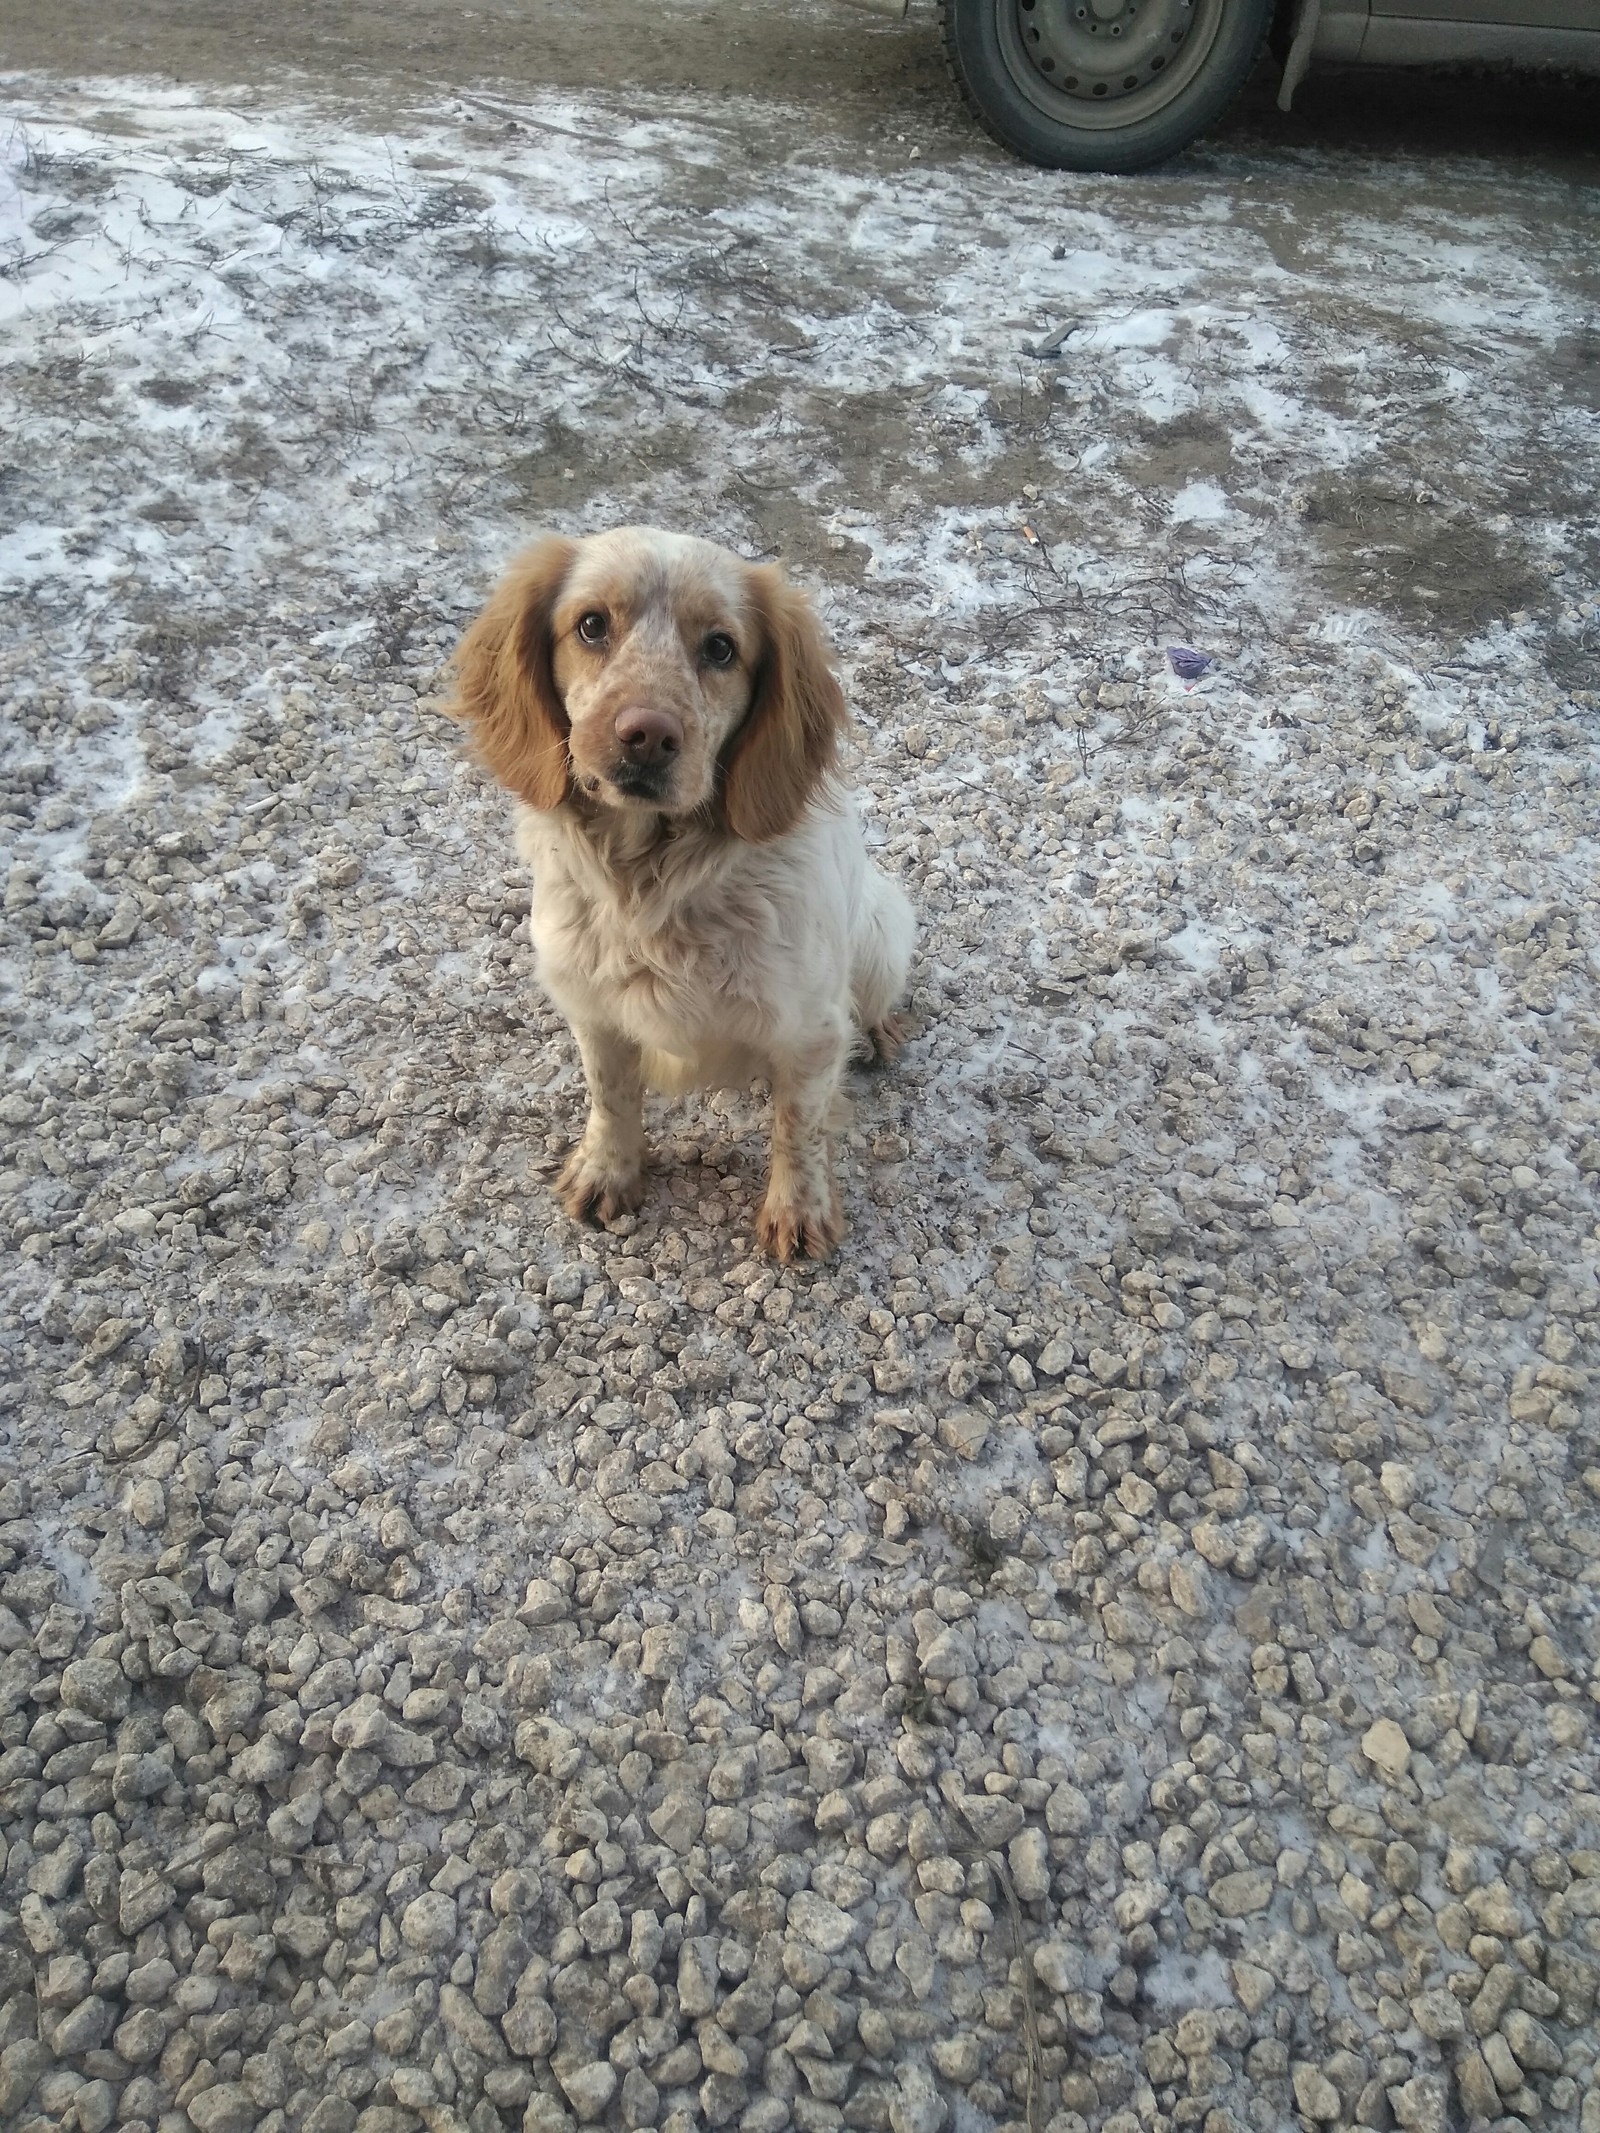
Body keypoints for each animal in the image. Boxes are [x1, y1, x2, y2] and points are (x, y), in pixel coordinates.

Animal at [452, 531, 921, 1254]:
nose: (646, 734)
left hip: (880, 935)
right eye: (591, 625)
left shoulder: (811, 1030)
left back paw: (882, 1032)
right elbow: (611, 1096)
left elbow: (799, 1126)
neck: (651, 879)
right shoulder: (592, 1005)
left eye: (721, 648)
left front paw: (798, 1210)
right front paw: (608, 1171)